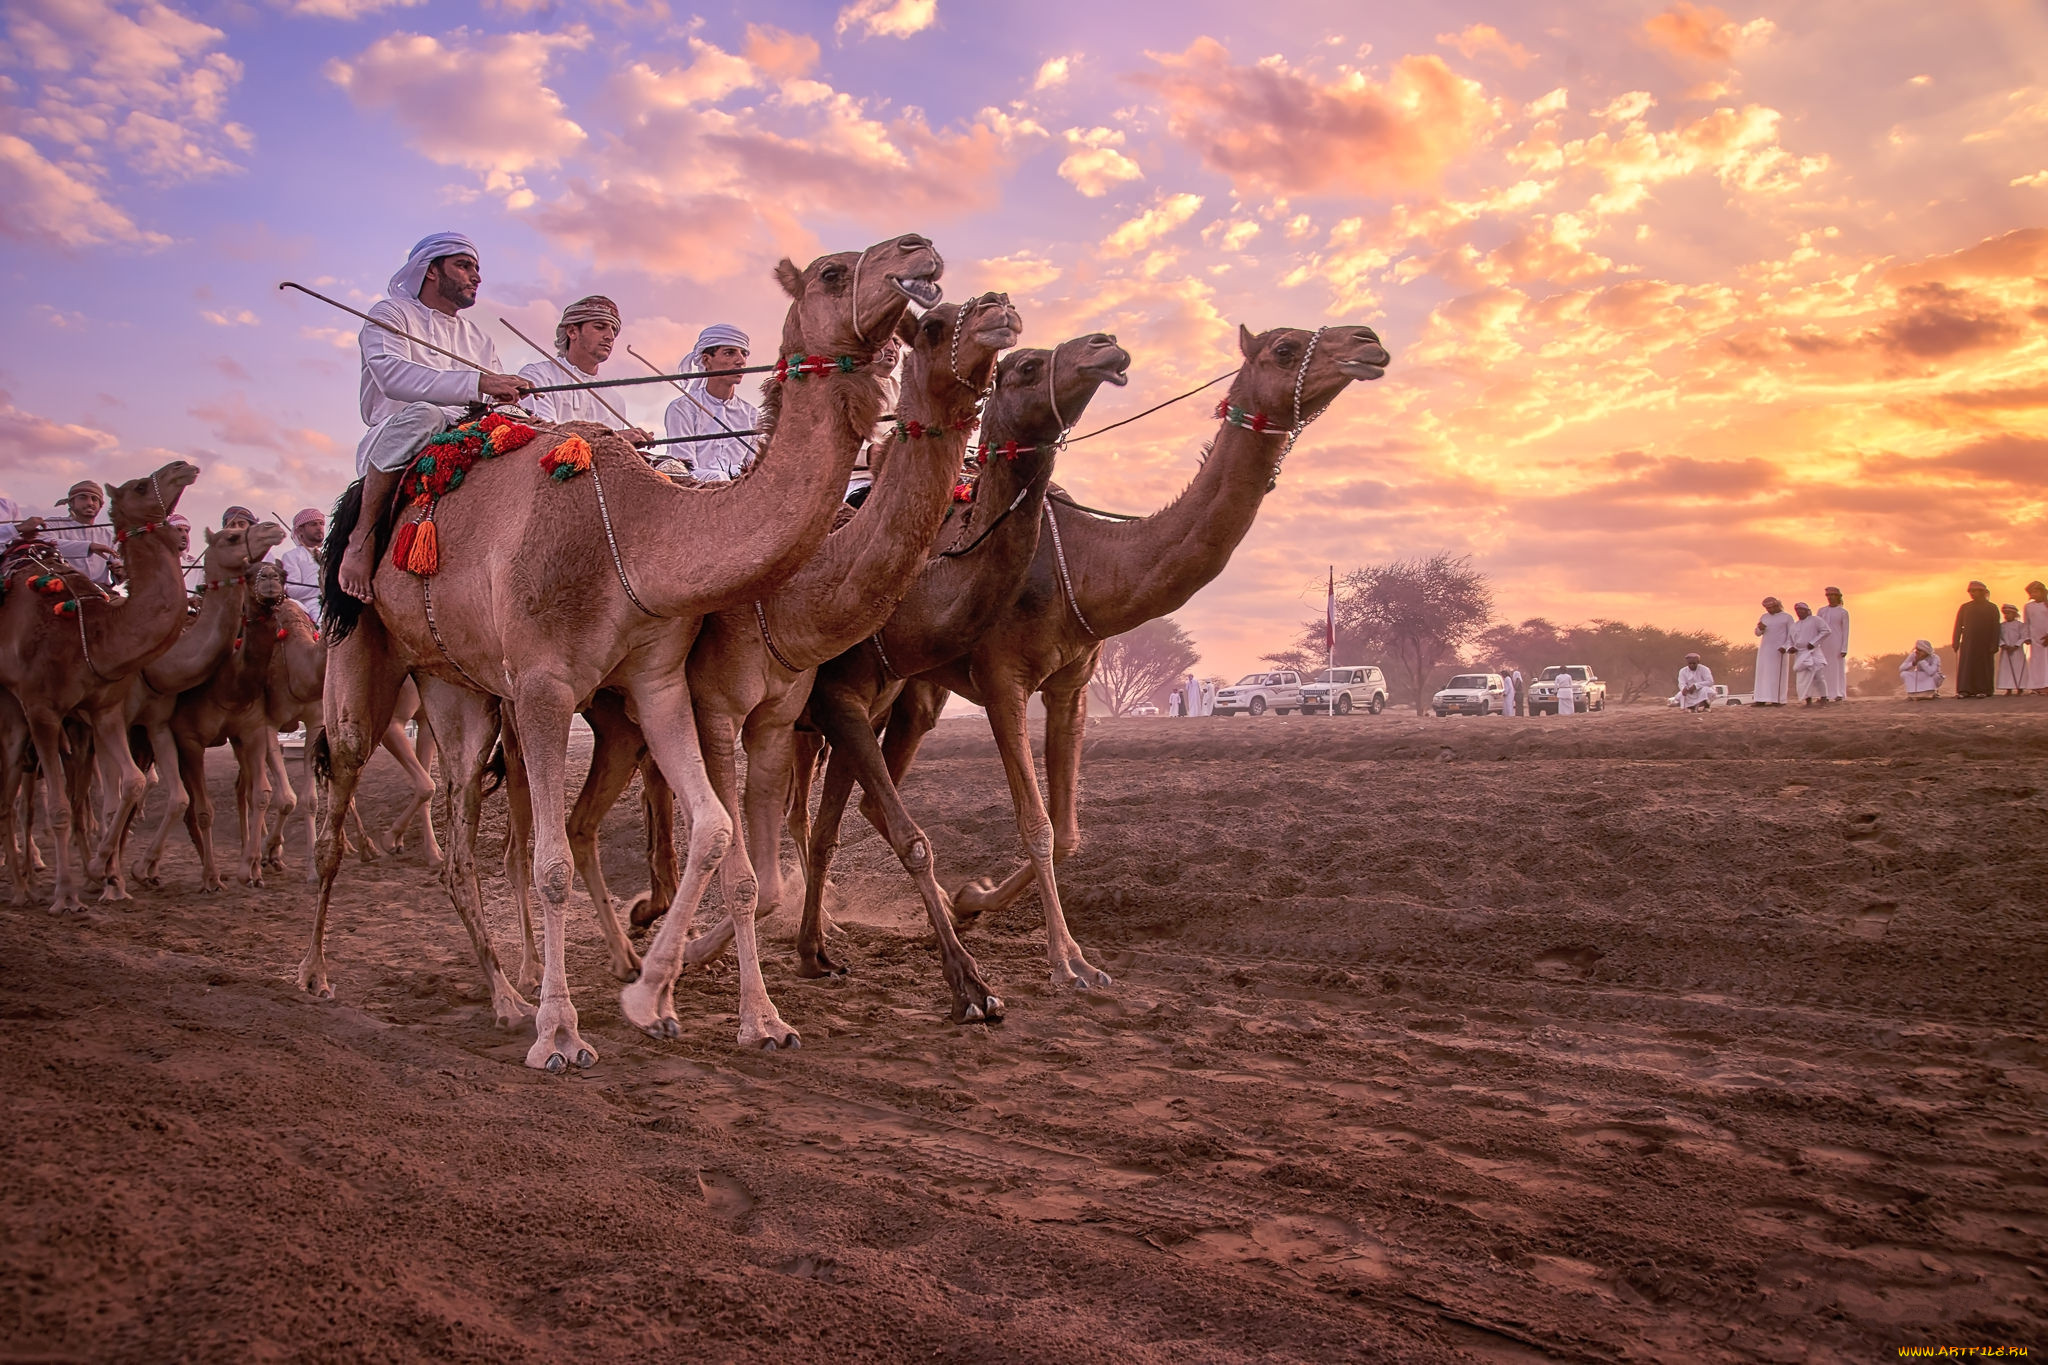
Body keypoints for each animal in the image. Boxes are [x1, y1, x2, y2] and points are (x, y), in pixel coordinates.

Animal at [0, 464, 201, 912]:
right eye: (141, 486)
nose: (184, 466)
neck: (89, 633)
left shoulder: (104, 710)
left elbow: (133, 784)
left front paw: (99, 872)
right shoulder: (43, 710)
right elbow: (58, 807)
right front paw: (66, 894)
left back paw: (26, 885)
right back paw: (25, 885)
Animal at [299, 229, 937, 1072]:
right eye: (834, 270)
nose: (921, 251)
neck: (633, 536)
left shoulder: (658, 682)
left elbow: (715, 831)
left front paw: (715, 1010)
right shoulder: (543, 687)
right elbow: (551, 864)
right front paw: (563, 1033)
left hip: (456, 687)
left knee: (461, 840)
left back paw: (504, 996)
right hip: (364, 661)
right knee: (340, 808)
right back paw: (317, 974)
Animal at [503, 296, 1032, 1047]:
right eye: (934, 325)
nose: (1000, 310)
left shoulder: (823, 714)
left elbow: (802, 845)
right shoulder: (741, 706)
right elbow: (795, 851)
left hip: (616, 719)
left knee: (587, 819)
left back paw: (629, 950)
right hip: (524, 692)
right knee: (517, 827)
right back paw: (532, 979)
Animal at [798, 325, 1392, 1019]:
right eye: (1284, 349)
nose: (1369, 341)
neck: (1080, 568)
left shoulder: (1070, 686)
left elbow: (1068, 830)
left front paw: (976, 901)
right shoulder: (1003, 680)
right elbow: (1037, 824)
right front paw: (1068, 964)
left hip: (913, 691)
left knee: (863, 790)